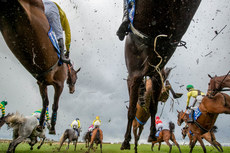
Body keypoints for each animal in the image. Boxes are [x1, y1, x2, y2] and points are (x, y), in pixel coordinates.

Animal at [0, 0, 80, 134]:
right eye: (76, 78)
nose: (73, 90)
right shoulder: (59, 85)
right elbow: (54, 105)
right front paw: (52, 126)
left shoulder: (42, 83)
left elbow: (45, 103)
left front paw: (41, 124)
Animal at [121, 0, 202, 149]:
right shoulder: (152, 76)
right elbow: (147, 108)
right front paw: (149, 135)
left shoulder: (136, 76)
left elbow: (135, 110)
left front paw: (127, 140)